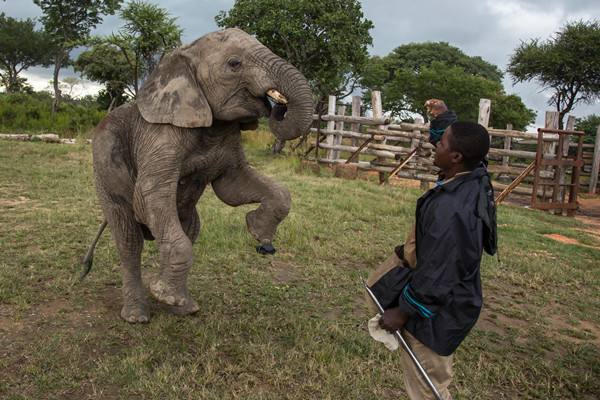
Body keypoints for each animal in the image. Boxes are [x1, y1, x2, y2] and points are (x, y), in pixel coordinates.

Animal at [82, 27, 314, 322]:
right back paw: (138, 314)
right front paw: (163, 294)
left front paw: (259, 235)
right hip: (103, 173)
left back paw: (184, 307)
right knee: (129, 239)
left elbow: (235, 186)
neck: (183, 54)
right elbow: (149, 195)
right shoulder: (159, 135)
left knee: (189, 228)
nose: (278, 106)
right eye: (234, 64)